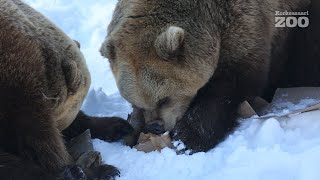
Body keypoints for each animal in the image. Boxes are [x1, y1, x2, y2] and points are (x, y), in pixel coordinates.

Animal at [99, 0, 318, 152]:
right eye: (133, 102)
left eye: (164, 99)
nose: (155, 127)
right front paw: (130, 130)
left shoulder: (245, 28)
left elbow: (227, 88)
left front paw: (187, 138)